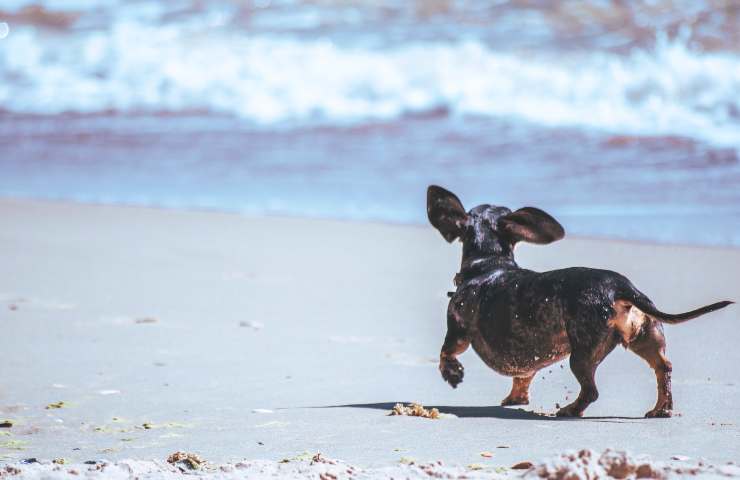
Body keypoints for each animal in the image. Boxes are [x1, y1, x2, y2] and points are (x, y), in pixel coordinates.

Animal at [428, 186, 736, 418]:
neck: (489, 264)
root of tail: (620, 287)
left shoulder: (457, 330)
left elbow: (446, 352)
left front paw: (452, 374)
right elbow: (523, 377)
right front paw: (516, 398)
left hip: (581, 354)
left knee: (591, 391)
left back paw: (570, 410)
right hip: (645, 337)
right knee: (664, 368)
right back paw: (661, 409)